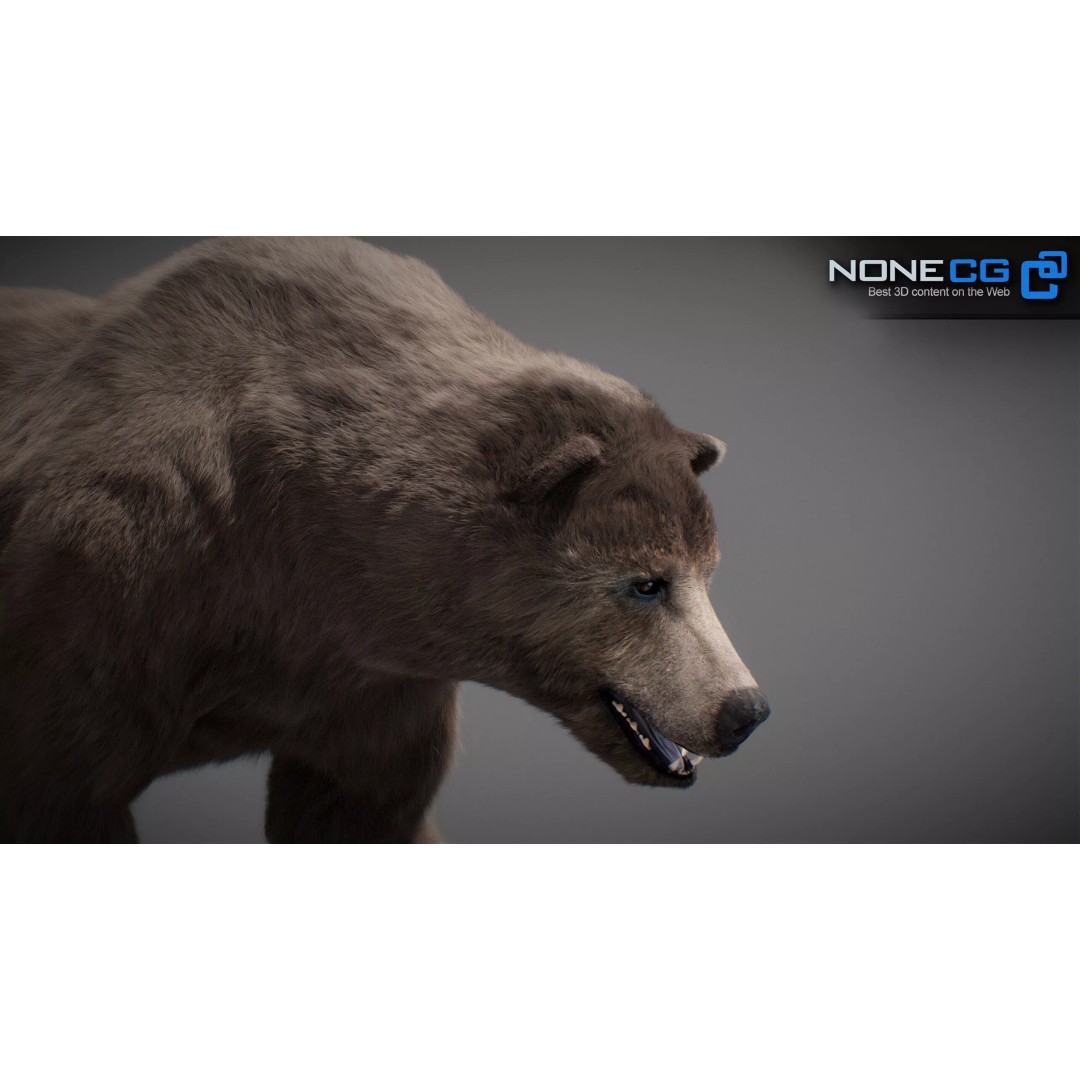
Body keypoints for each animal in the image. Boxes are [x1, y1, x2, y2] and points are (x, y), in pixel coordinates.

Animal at [0, 237, 769, 842]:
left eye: (708, 569)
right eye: (646, 583)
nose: (744, 710)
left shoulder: (371, 691)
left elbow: (360, 808)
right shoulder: (106, 597)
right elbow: (62, 785)